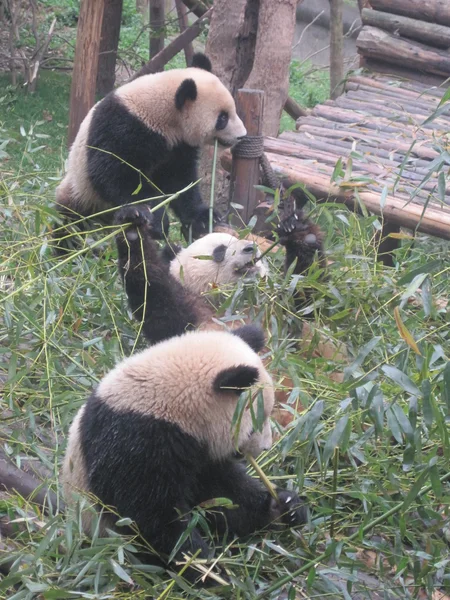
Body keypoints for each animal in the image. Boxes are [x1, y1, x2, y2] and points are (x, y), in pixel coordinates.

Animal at [53, 51, 246, 248]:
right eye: (222, 118)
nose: (242, 136)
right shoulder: (120, 126)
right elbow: (112, 174)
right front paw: (153, 219)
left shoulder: (177, 145)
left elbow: (180, 180)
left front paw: (204, 218)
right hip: (80, 193)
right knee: (69, 229)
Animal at [63, 326, 308, 584]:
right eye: (255, 426)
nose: (266, 448)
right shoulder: (136, 441)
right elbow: (151, 518)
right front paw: (208, 571)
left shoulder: (201, 454)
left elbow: (222, 495)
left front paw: (284, 506)